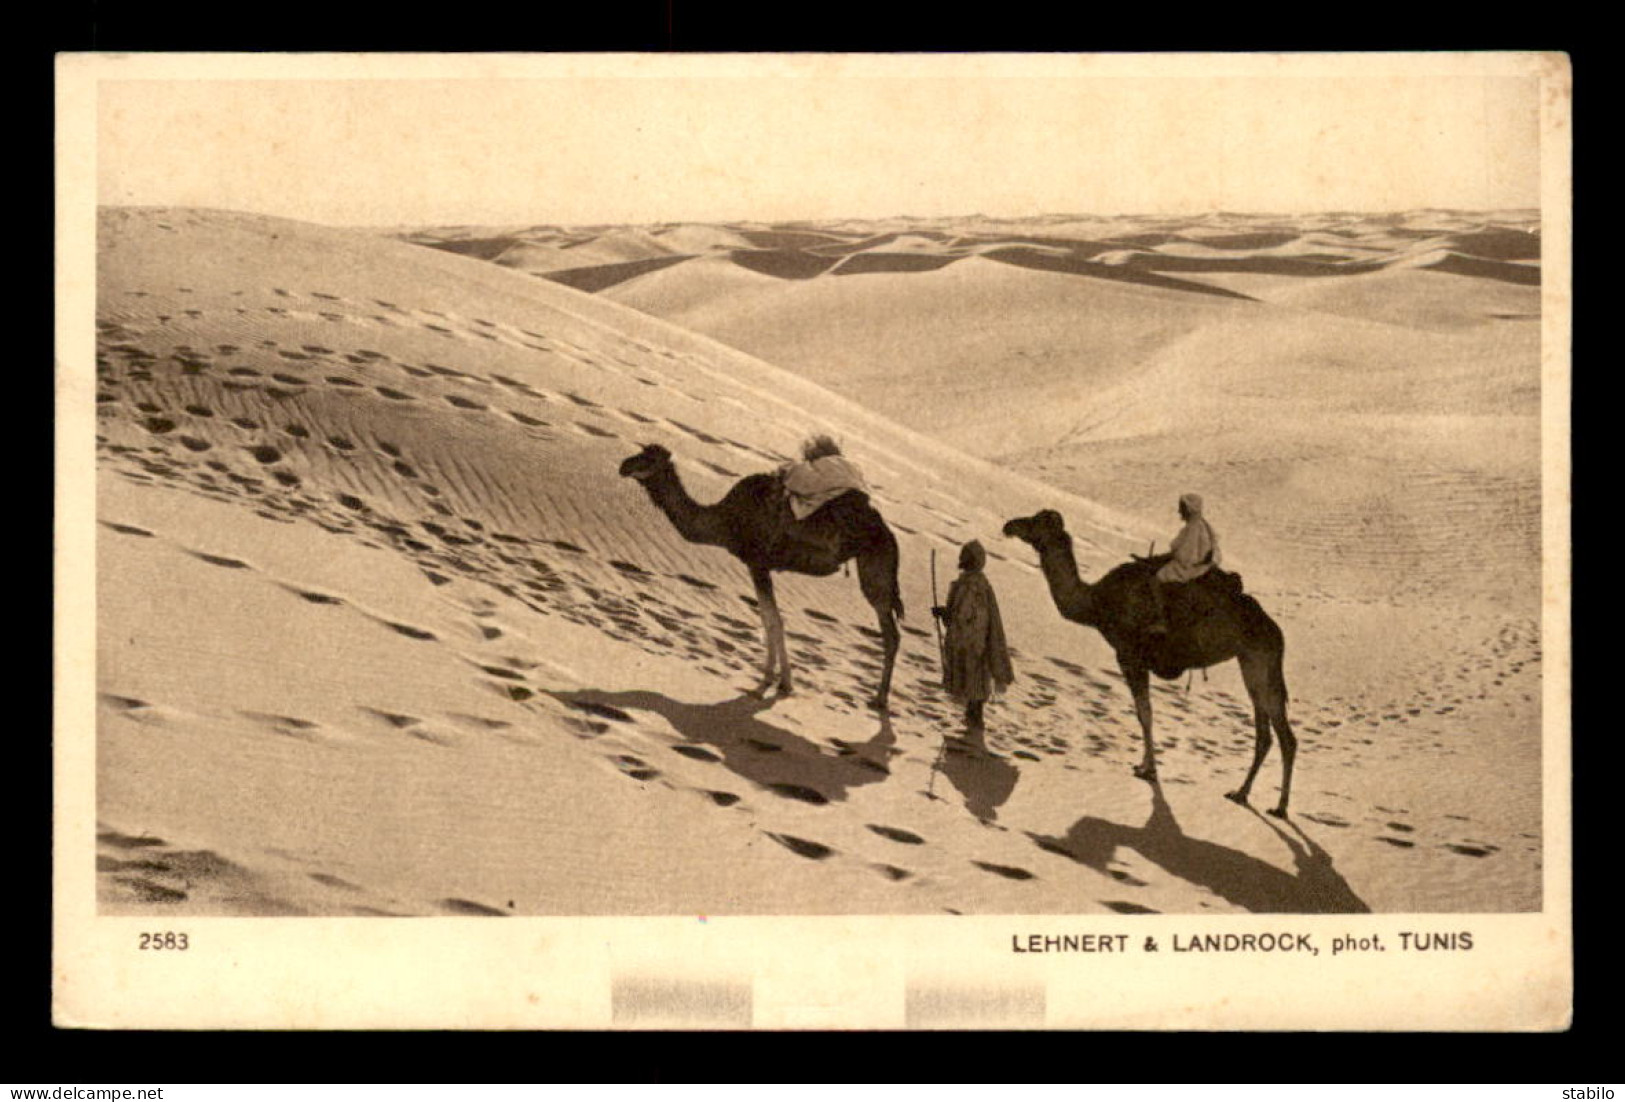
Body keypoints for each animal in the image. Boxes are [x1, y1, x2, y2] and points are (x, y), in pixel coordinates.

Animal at [617, 445, 903, 711]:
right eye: (641, 451)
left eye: (648, 458)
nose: (623, 466)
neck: (725, 520)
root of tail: (889, 535)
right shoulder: (756, 566)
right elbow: (769, 619)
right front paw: (777, 681)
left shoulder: (758, 564)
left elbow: (773, 620)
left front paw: (772, 684)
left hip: (875, 569)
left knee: (891, 633)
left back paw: (879, 700)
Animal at [994, 513, 1300, 815]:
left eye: (1037, 521)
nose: (1009, 525)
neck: (1096, 604)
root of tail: (1277, 632)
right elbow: (1143, 713)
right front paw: (1143, 764)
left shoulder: (1129, 656)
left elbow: (1145, 713)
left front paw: (1148, 770)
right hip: (1251, 662)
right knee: (1265, 734)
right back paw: (1242, 793)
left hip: (1260, 660)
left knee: (1284, 736)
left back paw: (1279, 806)